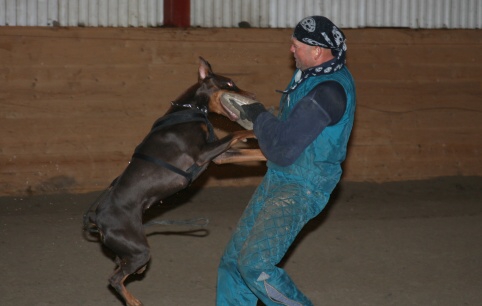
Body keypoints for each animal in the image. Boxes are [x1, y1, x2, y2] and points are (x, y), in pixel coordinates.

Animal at [83, 57, 256, 306]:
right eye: (230, 83)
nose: (252, 95)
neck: (190, 111)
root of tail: (97, 219)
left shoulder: (219, 156)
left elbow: (252, 152)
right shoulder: (203, 154)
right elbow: (236, 134)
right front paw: (255, 132)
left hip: (130, 248)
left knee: (121, 266)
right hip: (139, 249)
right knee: (115, 278)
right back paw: (133, 301)